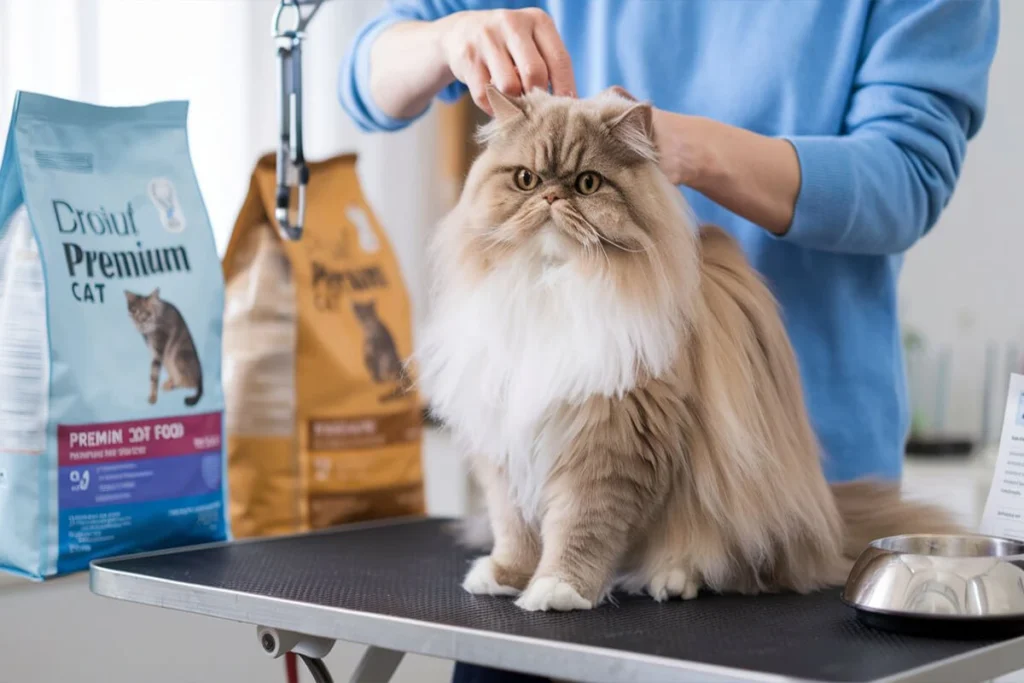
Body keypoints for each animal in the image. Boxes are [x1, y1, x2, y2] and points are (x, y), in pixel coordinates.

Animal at [411, 85, 954, 614]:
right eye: (525, 179)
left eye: (587, 184)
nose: (548, 195)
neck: (552, 283)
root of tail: (830, 520)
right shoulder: (505, 442)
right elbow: (516, 530)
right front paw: (506, 576)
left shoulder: (611, 445)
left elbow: (580, 530)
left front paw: (558, 589)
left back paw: (672, 579)